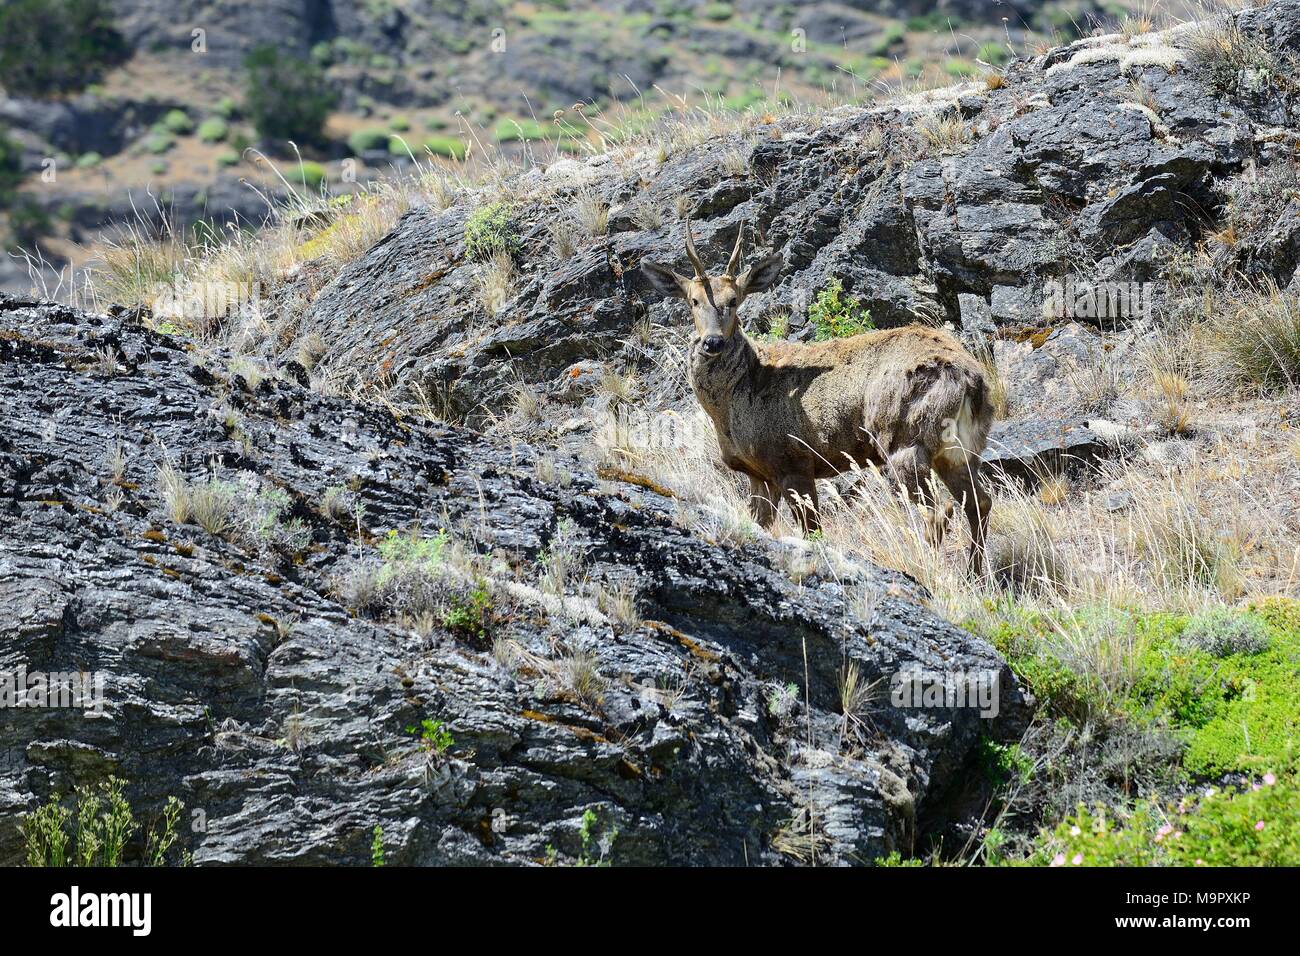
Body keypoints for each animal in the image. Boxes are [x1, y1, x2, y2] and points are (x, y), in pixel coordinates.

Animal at [639, 221, 993, 572]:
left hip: (904, 438)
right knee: (979, 501)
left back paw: (933, 572)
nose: (712, 342)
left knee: (938, 512)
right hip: (958, 448)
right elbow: (760, 525)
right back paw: (975, 577)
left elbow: (813, 532)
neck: (737, 398)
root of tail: (969, 378)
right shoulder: (758, 473)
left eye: (735, 300)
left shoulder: (793, 461)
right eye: (693, 301)